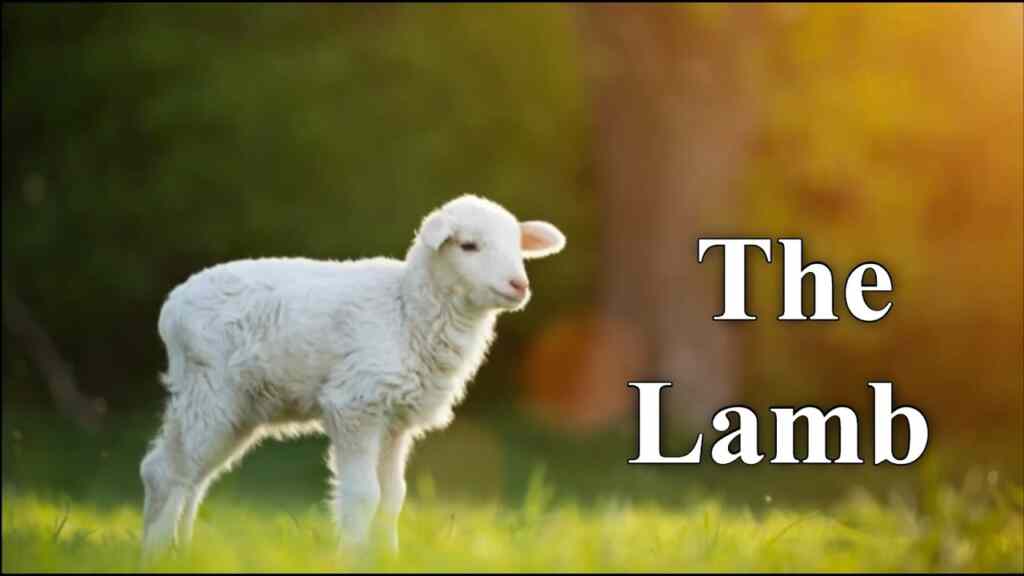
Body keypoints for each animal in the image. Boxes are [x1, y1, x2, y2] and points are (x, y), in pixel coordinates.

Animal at [139, 194, 566, 557]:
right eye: (469, 246)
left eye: (518, 246)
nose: (519, 285)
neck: (407, 309)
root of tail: (171, 307)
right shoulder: (356, 404)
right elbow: (364, 495)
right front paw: (354, 556)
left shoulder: (395, 422)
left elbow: (393, 497)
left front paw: (389, 558)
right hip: (209, 389)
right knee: (168, 472)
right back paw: (156, 554)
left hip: (236, 407)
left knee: (191, 475)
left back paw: (182, 550)